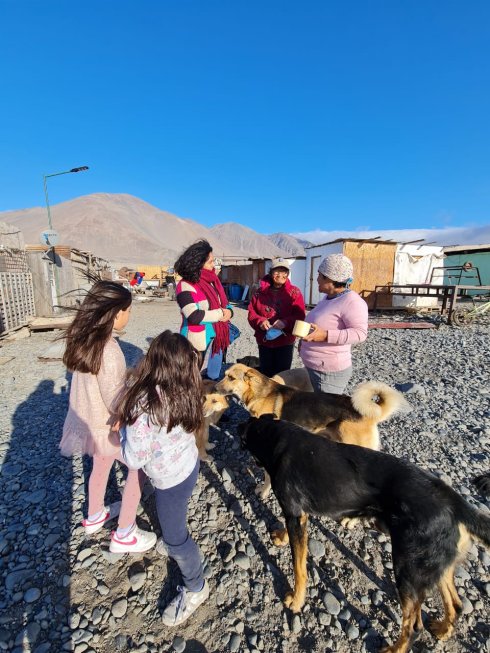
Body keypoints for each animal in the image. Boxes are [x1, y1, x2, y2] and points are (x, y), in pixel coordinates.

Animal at [240, 416, 490, 652]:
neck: (277, 437)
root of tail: (456, 503)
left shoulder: (294, 513)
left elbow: (299, 566)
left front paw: (296, 600)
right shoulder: (298, 515)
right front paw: (282, 537)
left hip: (408, 569)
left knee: (414, 626)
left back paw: (393, 649)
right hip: (435, 565)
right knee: (456, 604)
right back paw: (443, 630)